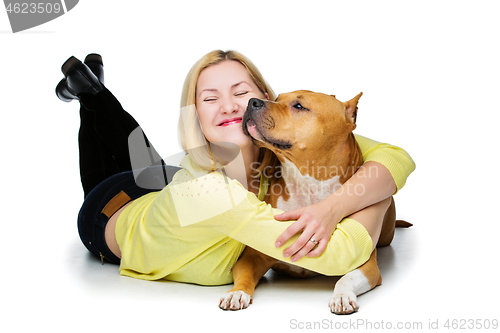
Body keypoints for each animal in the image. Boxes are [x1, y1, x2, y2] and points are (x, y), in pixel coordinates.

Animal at [218, 89, 410, 312]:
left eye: (299, 106)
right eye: (277, 99)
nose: (252, 102)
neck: (308, 187)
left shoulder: (366, 263)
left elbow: (347, 278)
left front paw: (342, 296)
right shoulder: (252, 256)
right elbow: (245, 274)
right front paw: (236, 292)